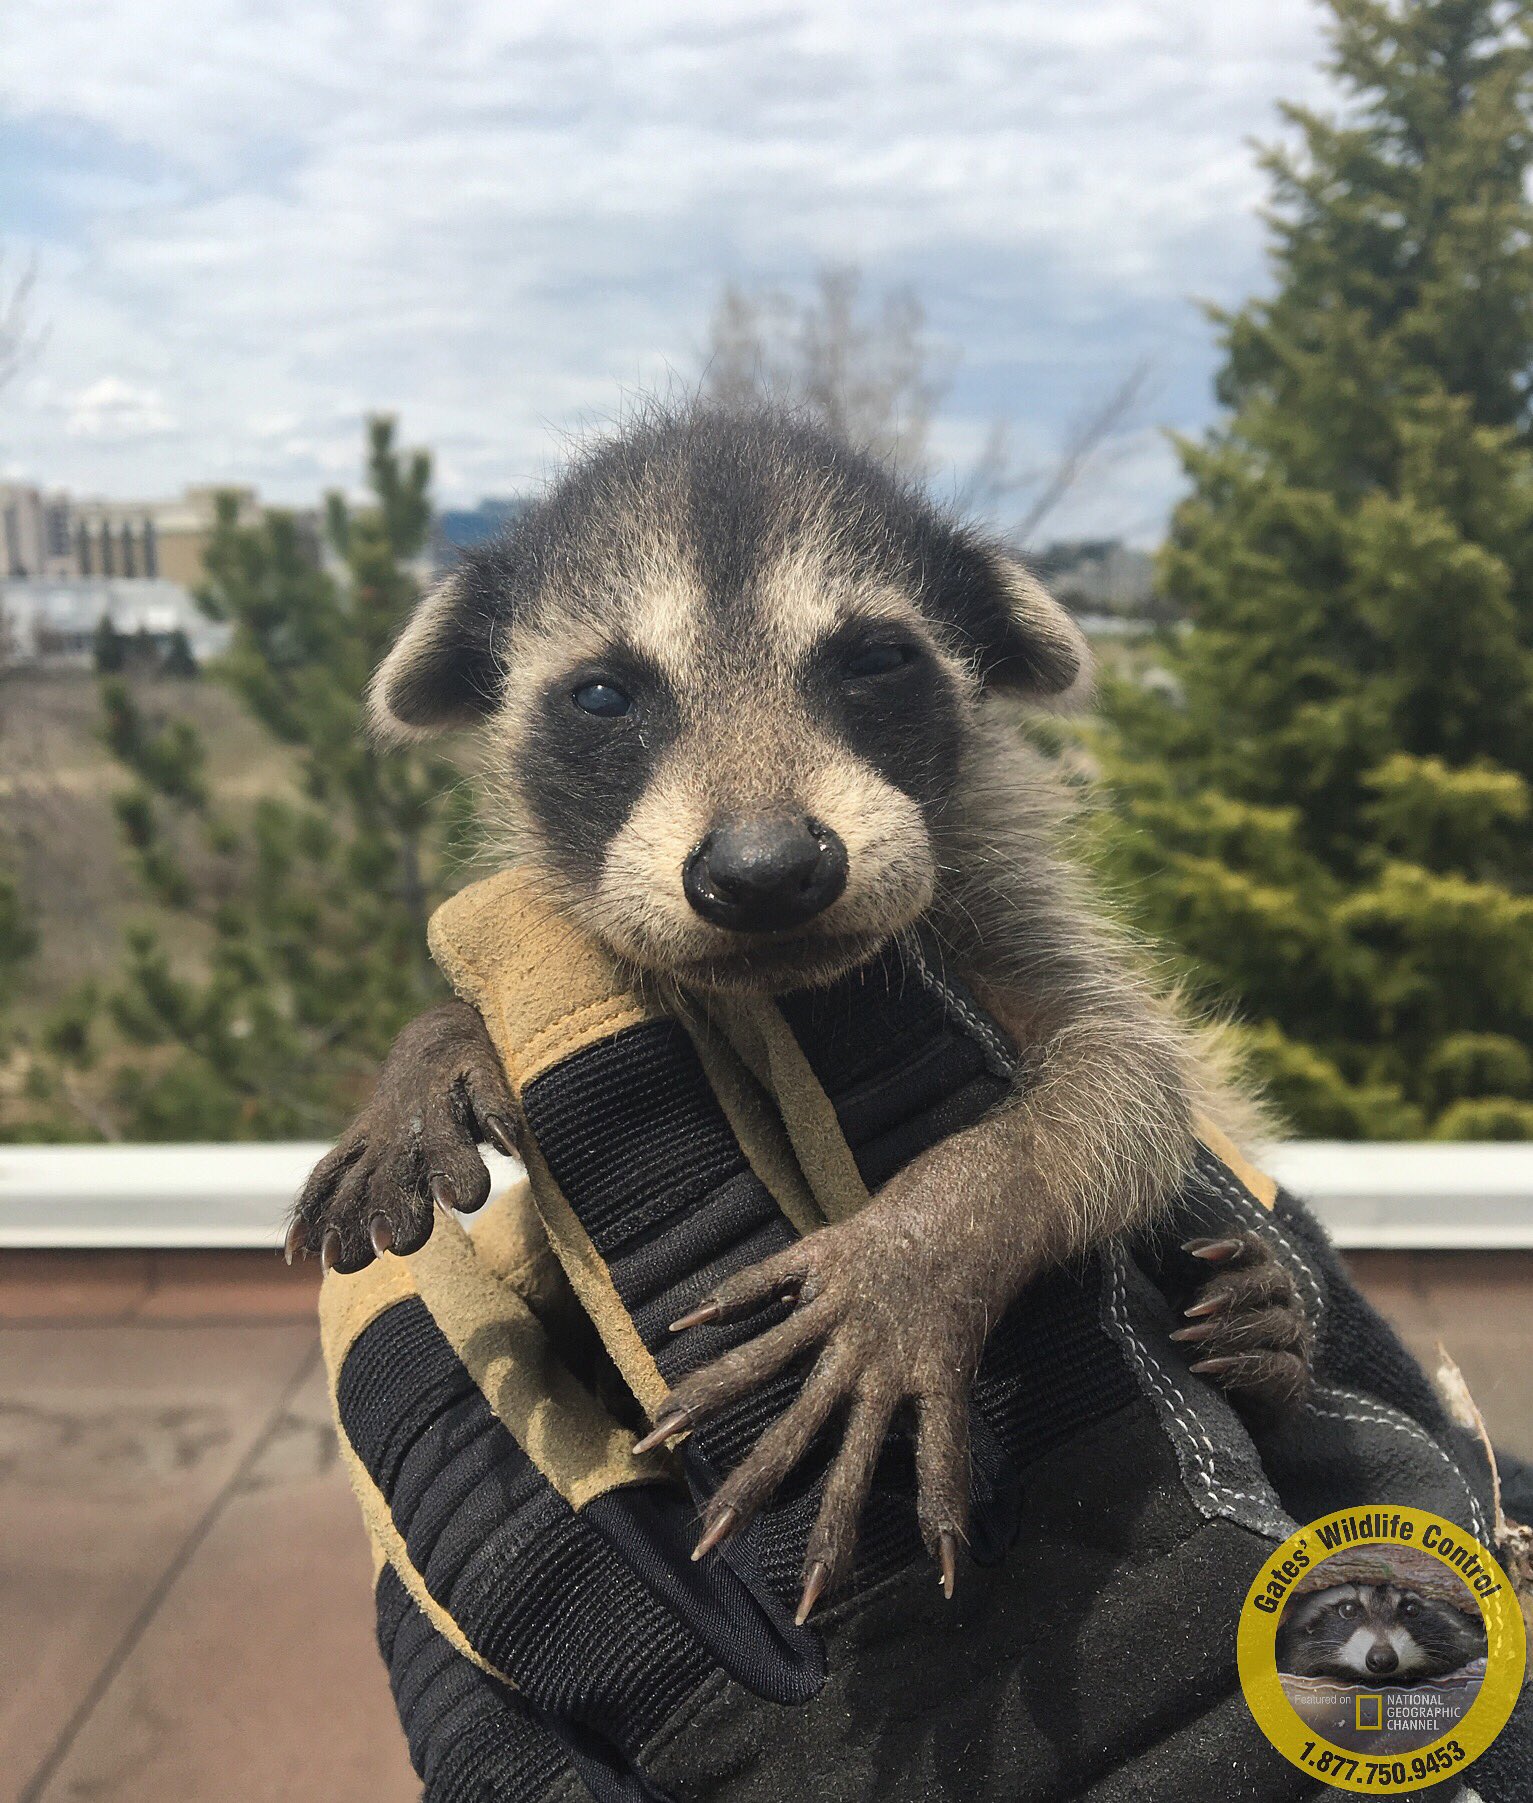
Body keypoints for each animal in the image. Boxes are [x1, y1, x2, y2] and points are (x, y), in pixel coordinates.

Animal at [290, 402, 1311, 1619]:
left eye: (873, 660)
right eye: (604, 694)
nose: (766, 869)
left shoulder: (1019, 910)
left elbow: (1130, 1083)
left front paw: (924, 1247)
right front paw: (436, 1044)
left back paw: (1272, 1318)